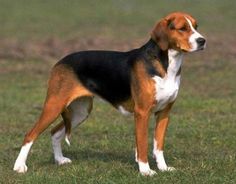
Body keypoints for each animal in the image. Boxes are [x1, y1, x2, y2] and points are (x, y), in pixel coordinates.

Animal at [13, 11, 205, 175]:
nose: (202, 41)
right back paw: (19, 166)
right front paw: (145, 171)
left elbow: (158, 145)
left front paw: (163, 168)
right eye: (182, 28)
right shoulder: (142, 113)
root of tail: (60, 61)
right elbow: (142, 145)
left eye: (196, 26)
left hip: (80, 112)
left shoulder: (164, 113)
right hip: (54, 106)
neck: (166, 64)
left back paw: (60, 160)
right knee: (30, 135)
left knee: (55, 132)